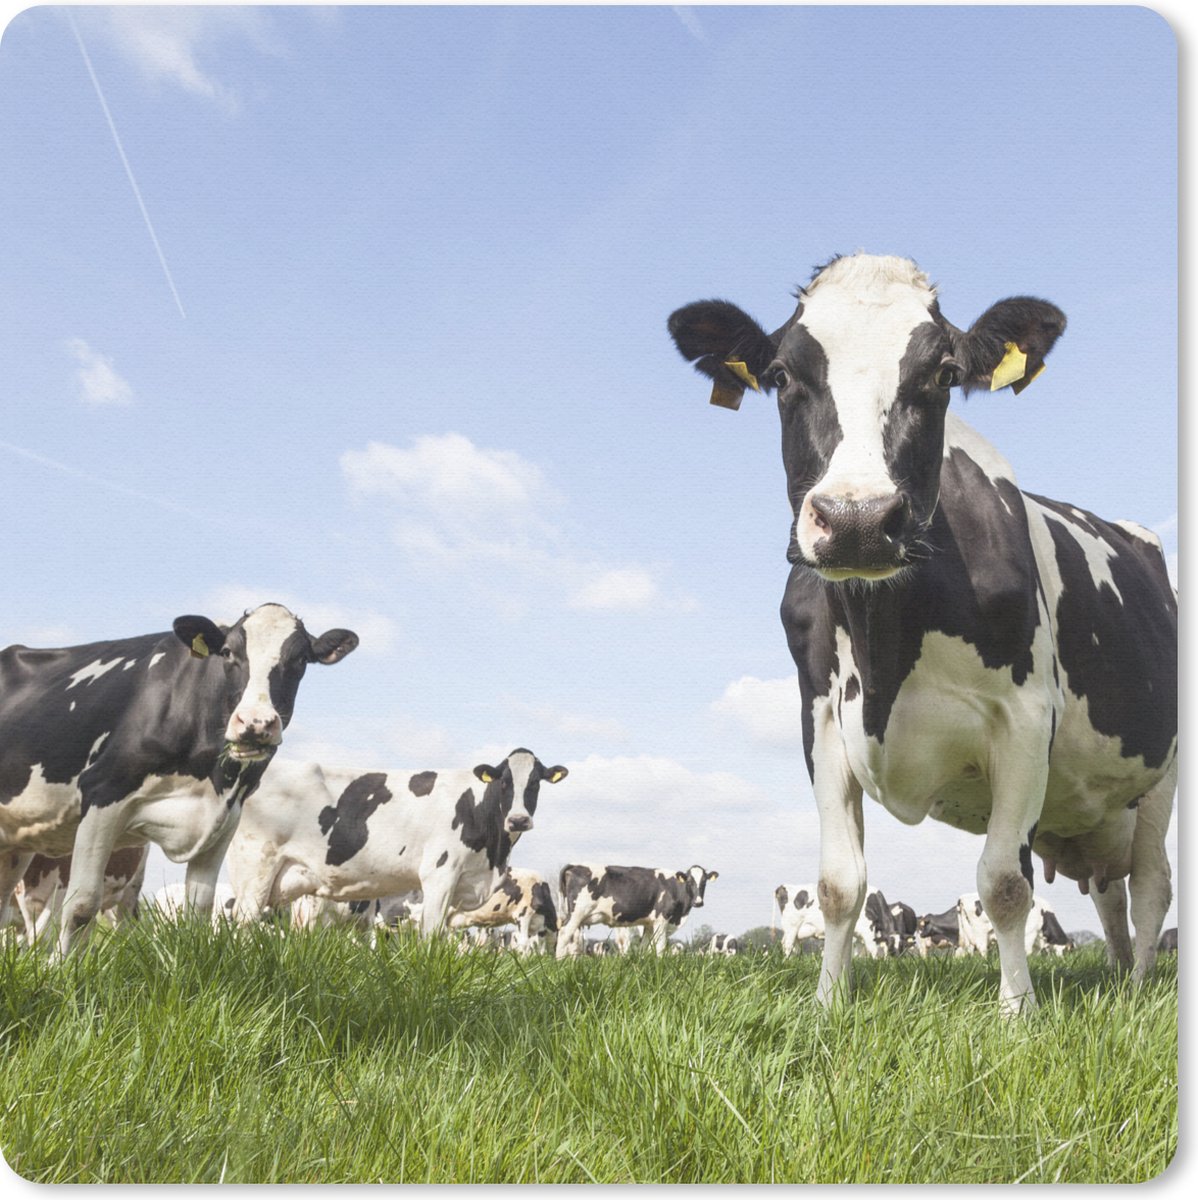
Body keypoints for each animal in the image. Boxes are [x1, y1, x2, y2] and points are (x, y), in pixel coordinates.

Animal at [11, 846, 147, 945]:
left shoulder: (63, 889)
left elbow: (40, 934)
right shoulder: (22, 895)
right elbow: (31, 933)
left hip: (133, 885)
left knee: (123, 925)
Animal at [225, 749, 567, 937]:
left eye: (535, 783)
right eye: (505, 782)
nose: (519, 820)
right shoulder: (439, 874)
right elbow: (431, 935)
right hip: (255, 868)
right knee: (243, 924)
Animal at [556, 864, 718, 957]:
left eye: (704, 882)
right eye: (689, 881)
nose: (698, 902)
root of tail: (574, 866)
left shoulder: (649, 924)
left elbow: (645, 947)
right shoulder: (661, 920)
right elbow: (660, 947)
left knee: (573, 941)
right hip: (577, 913)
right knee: (564, 933)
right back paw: (559, 962)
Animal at [669, 252, 1176, 1014]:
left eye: (941, 374)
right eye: (783, 375)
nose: (856, 519)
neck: (887, 643)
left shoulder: (1026, 718)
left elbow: (1003, 882)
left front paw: (1018, 1012)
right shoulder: (821, 720)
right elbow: (839, 883)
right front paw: (826, 1005)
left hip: (1163, 776)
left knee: (1150, 887)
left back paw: (1141, 986)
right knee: (1110, 895)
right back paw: (1119, 975)